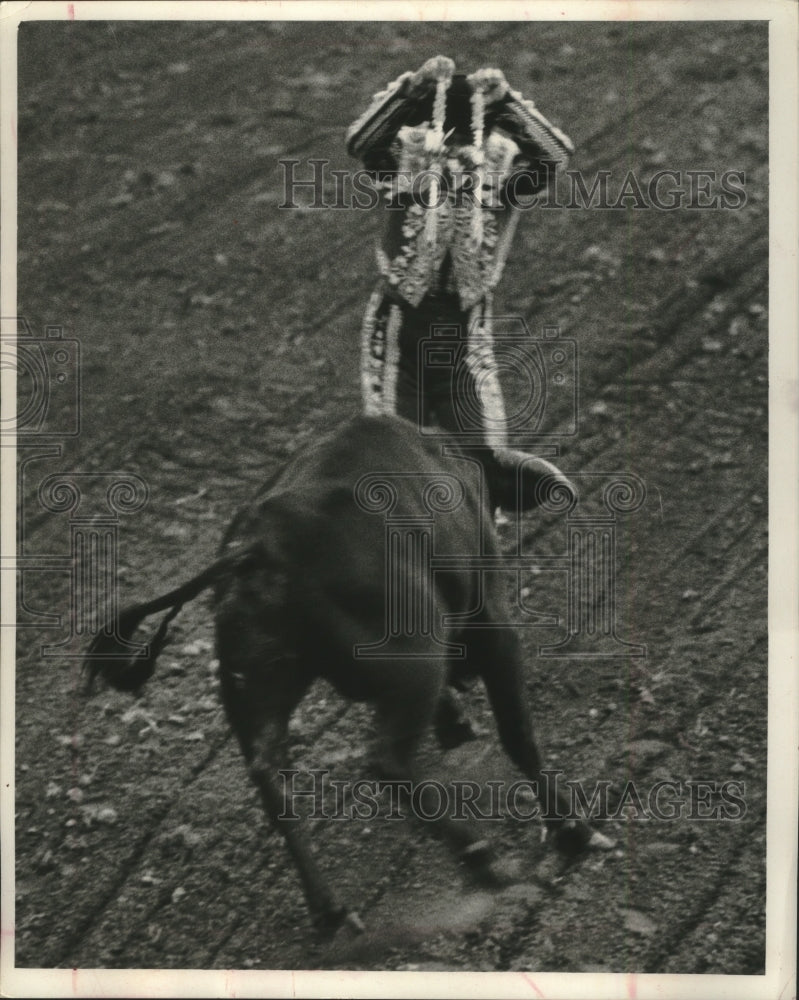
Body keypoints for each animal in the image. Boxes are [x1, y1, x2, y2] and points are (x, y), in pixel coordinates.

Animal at [84, 412, 612, 928]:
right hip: (415, 662)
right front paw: (572, 829)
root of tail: (258, 548)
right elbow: (517, 731)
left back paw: (330, 907)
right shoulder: (492, 620)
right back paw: (482, 856)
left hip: (257, 687)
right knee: (387, 759)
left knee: (270, 777)